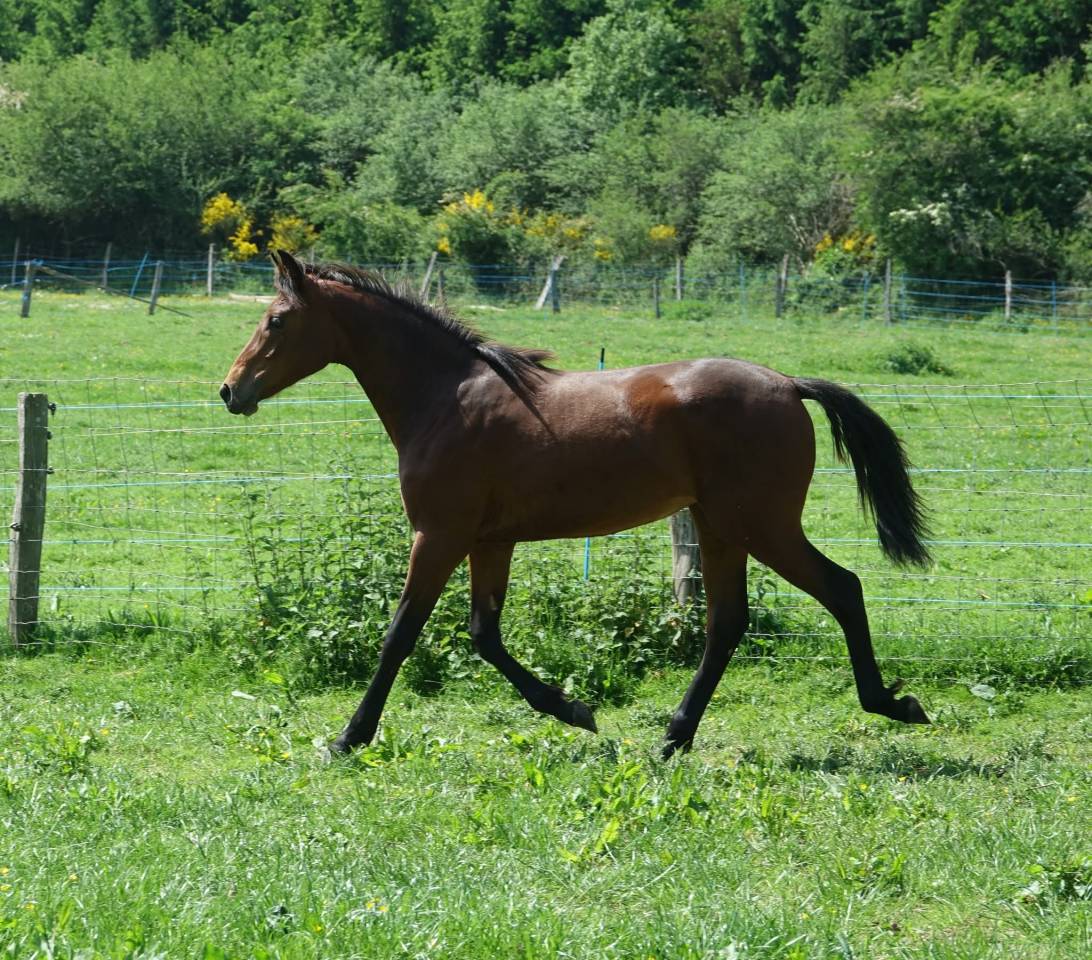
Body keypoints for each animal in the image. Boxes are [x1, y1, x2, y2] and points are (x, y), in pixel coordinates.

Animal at [220, 250, 932, 758]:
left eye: (276, 320)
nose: (231, 390)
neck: (446, 397)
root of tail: (788, 384)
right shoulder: (489, 541)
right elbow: (483, 635)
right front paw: (573, 709)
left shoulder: (439, 534)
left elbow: (400, 633)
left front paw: (348, 738)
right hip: (721, 527)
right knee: (727, 623)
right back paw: (673, 737)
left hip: (762, 525)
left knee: (842, 588)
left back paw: (892, 704)